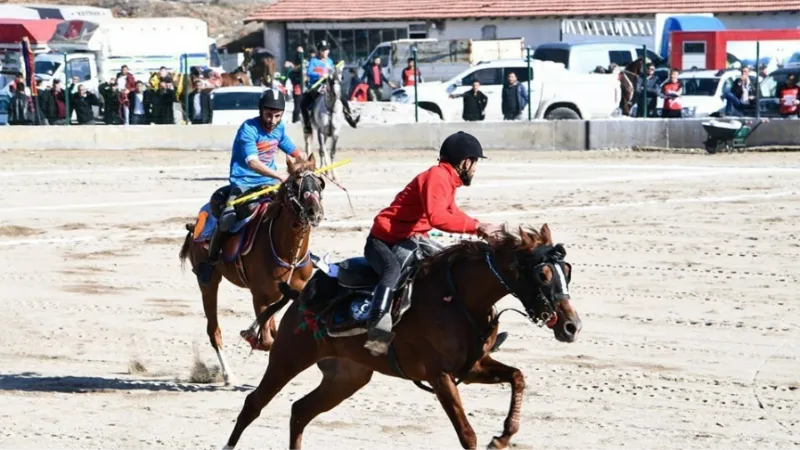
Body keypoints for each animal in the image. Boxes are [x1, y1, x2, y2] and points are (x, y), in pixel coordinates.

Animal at [180, 156, 326, 386]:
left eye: (320, 183)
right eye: (295, 185)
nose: (315, 213)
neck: (287, 252)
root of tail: (195, 225)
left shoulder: (292, 292)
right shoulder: (259, 296)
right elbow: (267, 340)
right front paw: (252, 336)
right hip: (209, 282)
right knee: (214, 330)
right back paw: (228, 375)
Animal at [219, 223, 580, 448]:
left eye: (567, 271)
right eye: (544, 274)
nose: (571, 326)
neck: (457, 298)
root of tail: (300, 296)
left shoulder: (473, 368)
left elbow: (517, 376)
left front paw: (504, 436)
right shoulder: (439, 375)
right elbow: (466, 433)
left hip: (347, 377)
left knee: (300, 411)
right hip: (288, 358)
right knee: (254, 404)